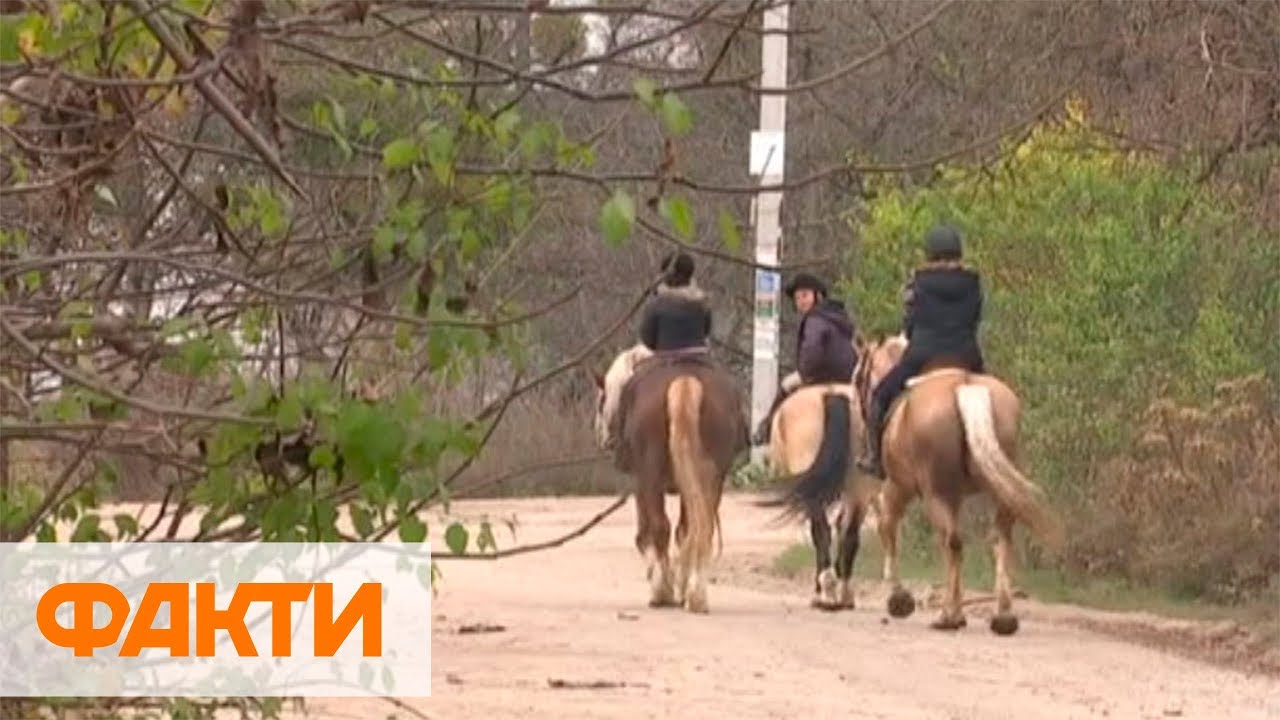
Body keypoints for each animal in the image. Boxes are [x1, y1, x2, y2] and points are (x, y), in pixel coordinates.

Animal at [592, 346, 748, 614]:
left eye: (601, 403)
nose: (604, 440)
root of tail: (684, 379)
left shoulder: (640, 484)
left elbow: (645, 534)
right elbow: (685, 530)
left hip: (650, 476)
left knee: (659, 526)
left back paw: (662, 593)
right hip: (713, 478)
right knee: (701, 527)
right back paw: (696, 595)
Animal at [755, 376, 879, 611]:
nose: (757, 434)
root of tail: (832, 394)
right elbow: (841, 529)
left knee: (821, 532)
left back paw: (826, 594)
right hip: (860, 489)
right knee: (849, 535)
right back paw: (844, 594)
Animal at [852, 333, 1064, 634]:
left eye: (858, 377)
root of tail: (966, 387)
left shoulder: (898, 486)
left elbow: (887, 526)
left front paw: (899, 598)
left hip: (936, 493)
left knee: (951, 542)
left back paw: (948, 617)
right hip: (1000, 489)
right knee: (997, 539)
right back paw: (1002, 615)